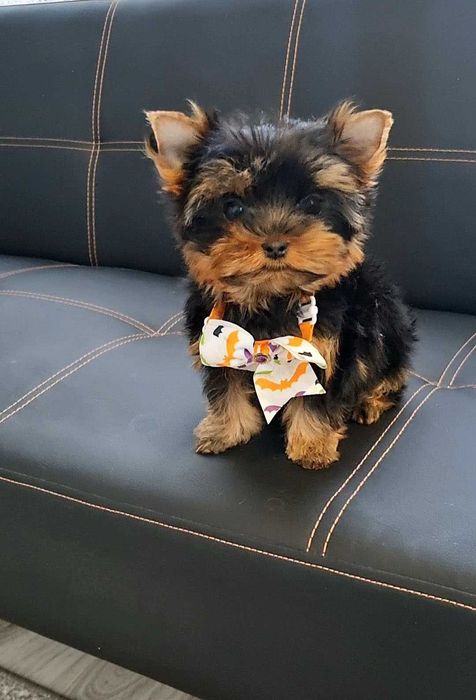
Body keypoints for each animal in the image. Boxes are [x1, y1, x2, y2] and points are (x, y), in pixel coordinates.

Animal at [145, 101, 415, 469]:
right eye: (232, 206)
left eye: (312, 203)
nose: (275, 244)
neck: (269, 296)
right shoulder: (214, 343)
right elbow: (225, 387)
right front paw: (225, 430)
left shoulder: (325, 350)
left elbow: (318, 398)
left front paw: (312, 446)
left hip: (385, 318)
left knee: (388, 372)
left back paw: (369, 401)